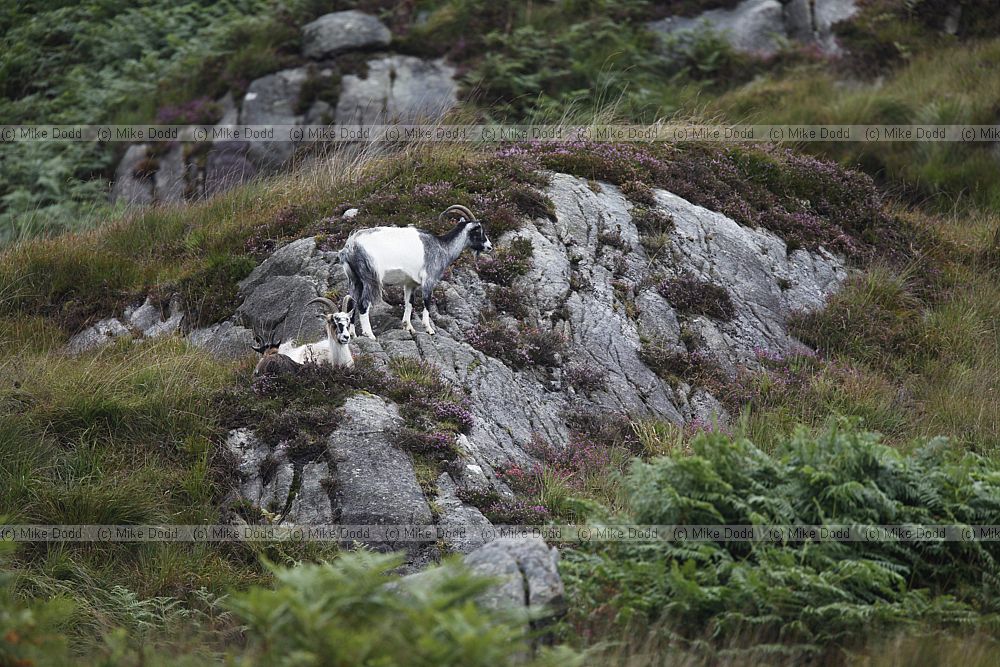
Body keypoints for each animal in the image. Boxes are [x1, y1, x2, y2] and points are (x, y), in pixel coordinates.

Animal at [339, 204, 492, 339]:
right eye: (478, 230)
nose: (489, 246)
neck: (441, 247)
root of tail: (350, 246)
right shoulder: (429, 279)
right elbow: (427, 302)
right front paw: (429, 329)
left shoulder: (410, 283)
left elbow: (409, 302)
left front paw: (409, 327)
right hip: (370, 279)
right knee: (363, 304)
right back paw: (370, 335)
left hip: (355, 280)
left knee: (353, 302)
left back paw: (353, 334)